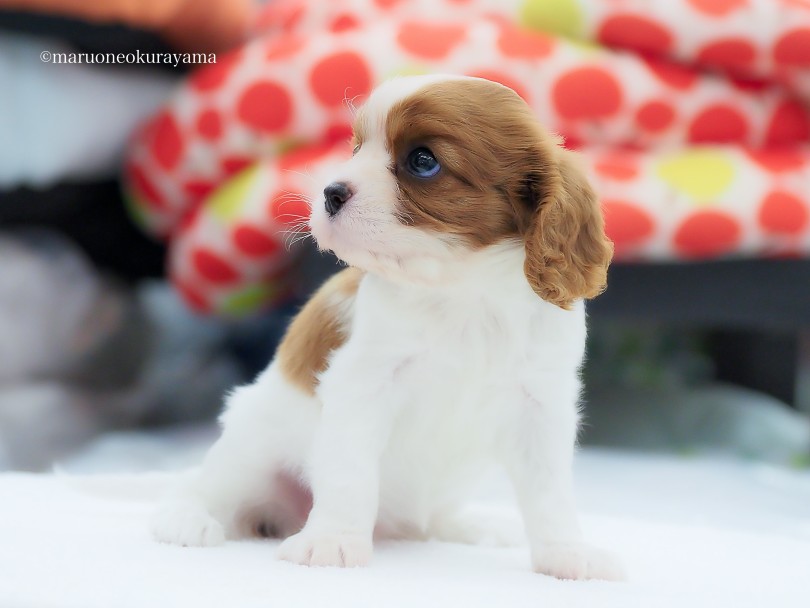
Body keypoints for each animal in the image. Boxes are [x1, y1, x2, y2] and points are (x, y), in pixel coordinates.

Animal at [152, 75, 620, 580]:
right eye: (356, 148)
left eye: (423, 161)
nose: (330, 192)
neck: (464, 291)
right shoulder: (363, 385)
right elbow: (350, 473)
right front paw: (333, 540)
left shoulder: (541, 404)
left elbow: (551, 493)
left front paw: (567, 553)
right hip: (250, 448)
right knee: (209, 488)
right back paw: (187, 519)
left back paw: (470, 525)